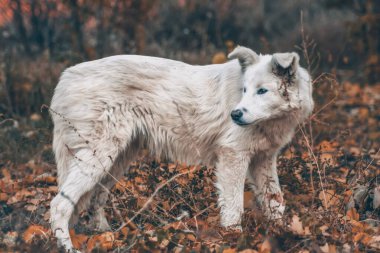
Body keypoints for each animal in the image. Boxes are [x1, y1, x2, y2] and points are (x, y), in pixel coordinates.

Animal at [49, 46, 314, 251]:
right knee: (59, 205)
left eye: (262, 91)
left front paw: (283, 233)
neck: (272, 121)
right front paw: (234, 240)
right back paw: (68, 247)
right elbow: (234, 208)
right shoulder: (233, 157)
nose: (235, 114)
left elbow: (275, 202)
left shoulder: (263, 161)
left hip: (116, 161)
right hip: (98, 159)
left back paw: (108, 237)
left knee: (94, 201)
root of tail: (64, 79)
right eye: (245, 90)